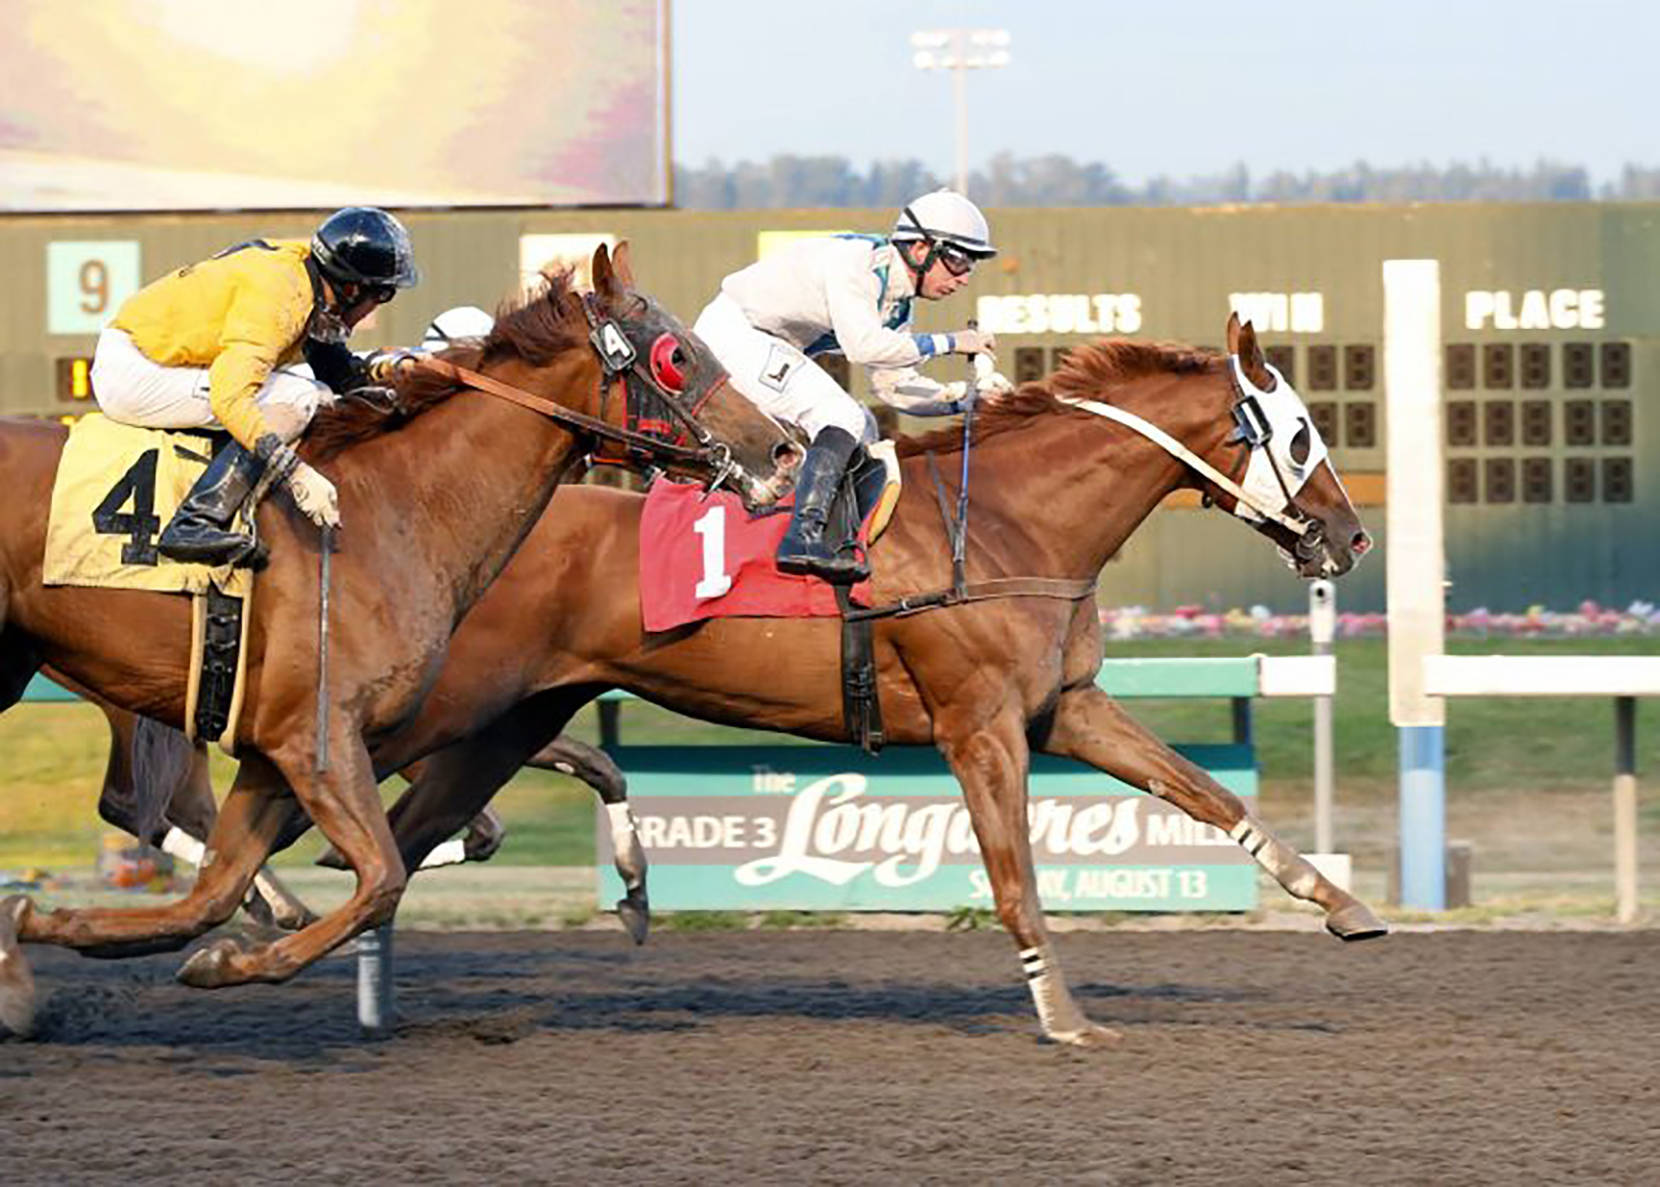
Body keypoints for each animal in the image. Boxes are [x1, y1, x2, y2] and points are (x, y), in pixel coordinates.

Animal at [0, 240, 796, 1029]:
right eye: (676, 356)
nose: (782, 452)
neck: (394, 510)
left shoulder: (275, 748)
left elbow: (213, 896)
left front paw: (58, 927)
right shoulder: (318, 744)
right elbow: (381, 878)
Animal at [78, 315, 1381, 1049]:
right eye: (1296, 433)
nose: (1347, 535)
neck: (1011, 519)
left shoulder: (1065, 707)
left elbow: (1209, 794)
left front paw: (1340, 901)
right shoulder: (979, 726)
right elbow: (1016, 874)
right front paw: (1060, 1012)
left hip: (502, 723)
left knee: (389, 840)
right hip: (411, 708)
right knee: (288, 810)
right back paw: (238, 929)